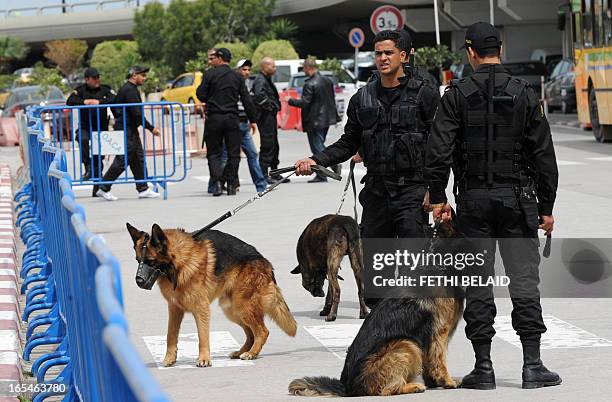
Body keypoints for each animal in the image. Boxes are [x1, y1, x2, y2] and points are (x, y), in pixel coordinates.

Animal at [125, 223, 298, 368]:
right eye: (138, 260)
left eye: (151, 261)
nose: (138, 281)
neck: (179, 263)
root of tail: (266, 263)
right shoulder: (174, 310)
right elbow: (170, 335)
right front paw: (169, 359)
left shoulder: (201, 309)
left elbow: (202, 336)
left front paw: (204, 359)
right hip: (232, 310)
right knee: (251, 333)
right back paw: (241, 351)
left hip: (243, 307)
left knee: (262, 331)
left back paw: (251, 353)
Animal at [288, 221, 464, 398]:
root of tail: (347, 387)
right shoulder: (439, 333)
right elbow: (439, 360)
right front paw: (447, 381)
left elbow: (430, 363)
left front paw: (434, 382)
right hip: (406, 344)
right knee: (386, 389)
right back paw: (412, 386)